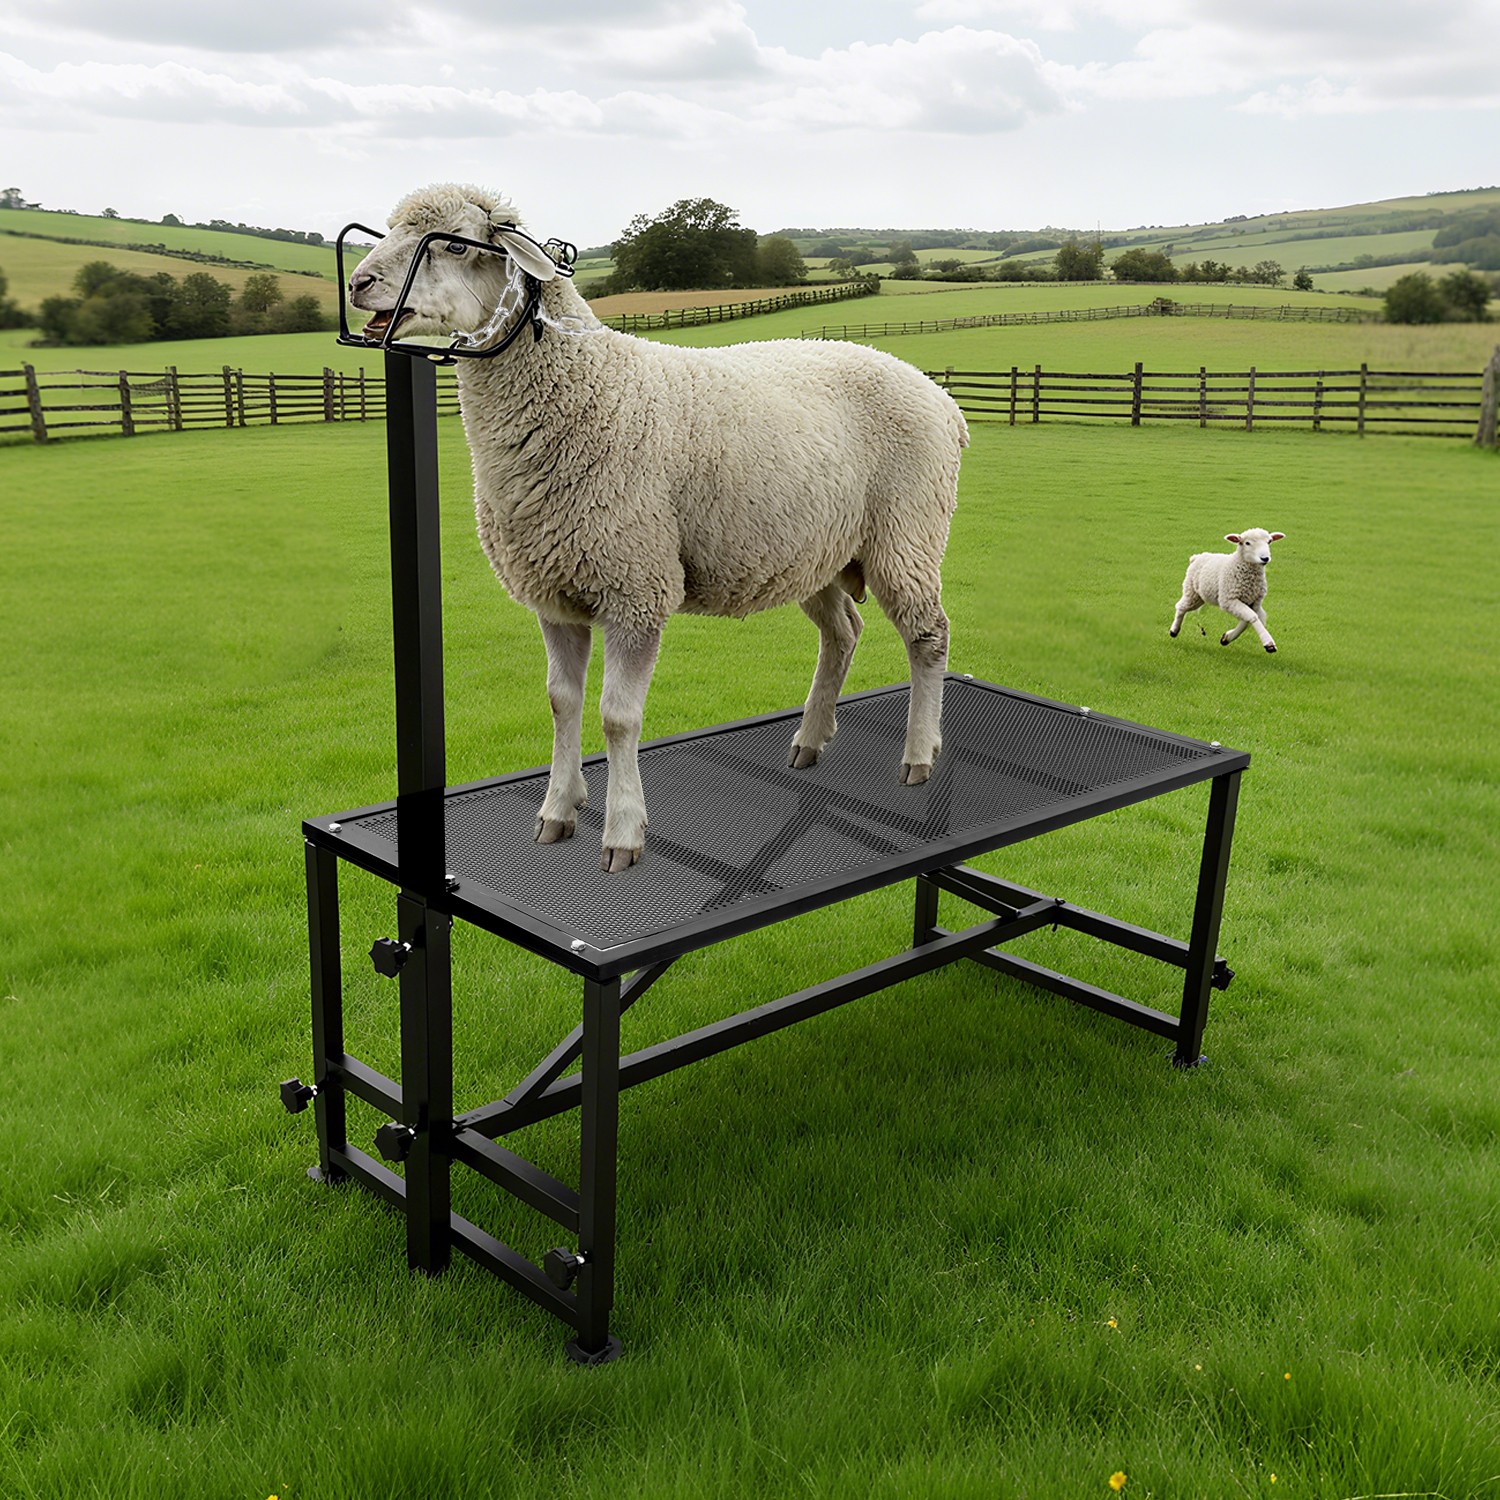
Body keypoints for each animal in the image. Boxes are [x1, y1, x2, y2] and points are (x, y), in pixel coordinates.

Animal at [348, 183, 969, 872]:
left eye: (456, 243)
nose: (358, 283)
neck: (586, 389)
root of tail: (943, 399)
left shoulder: (636, 587)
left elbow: (618, 717)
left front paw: (622, 832)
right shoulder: (554, 592)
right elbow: (561, 702)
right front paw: (558, 809)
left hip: (906, 534)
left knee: (929, 636)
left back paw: (919, 755)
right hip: (816, 551)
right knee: (843, 633)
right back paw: (809, 740)